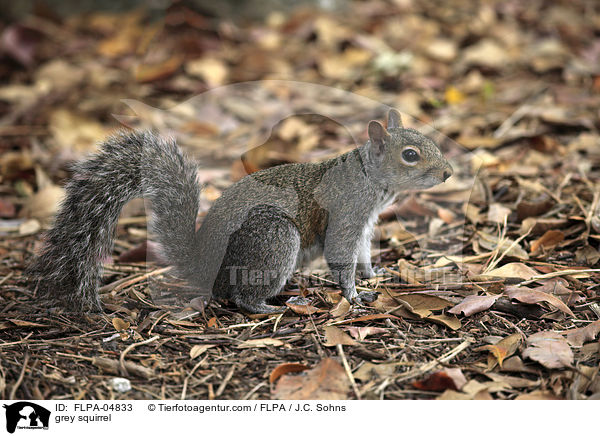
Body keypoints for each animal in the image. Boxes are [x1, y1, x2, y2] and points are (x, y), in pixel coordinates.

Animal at [27, 109, 450, 314]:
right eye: (410, 155)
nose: (447, 172)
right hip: (274, 239)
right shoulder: (347, 215)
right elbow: (342, 258)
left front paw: (374, 275)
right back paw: (272, 306)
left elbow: (362, 254)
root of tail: (204, 267)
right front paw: (354, 295)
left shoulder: (364, 224)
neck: (371, 179)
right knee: (242, 297)